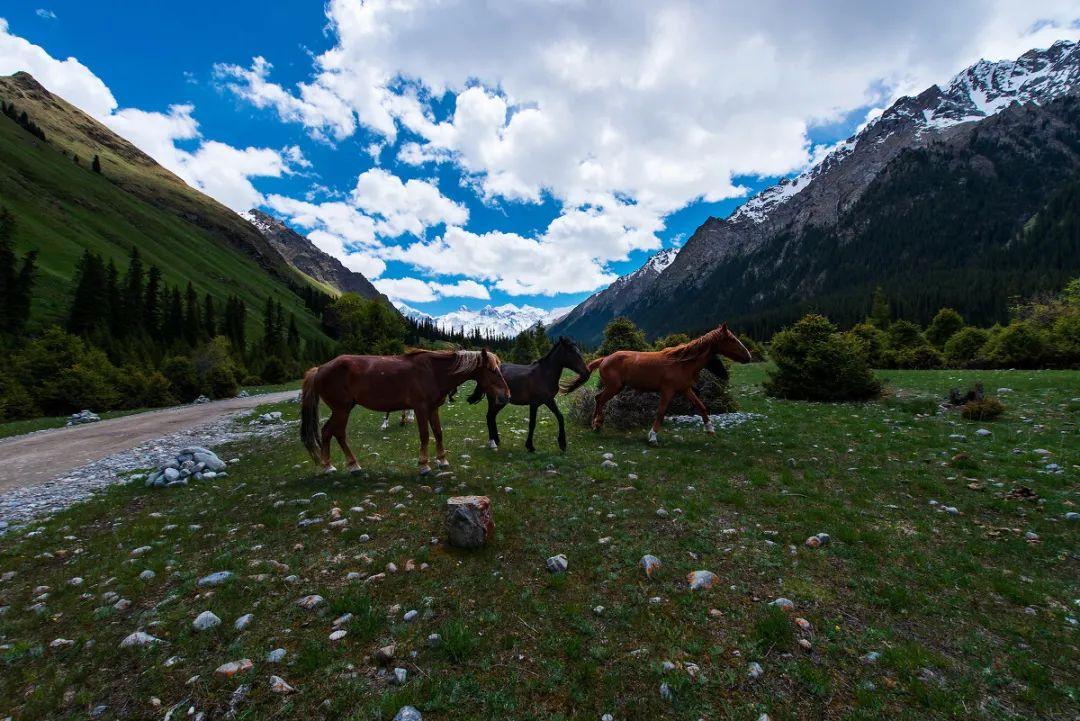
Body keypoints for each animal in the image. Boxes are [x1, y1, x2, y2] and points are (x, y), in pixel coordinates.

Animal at [300, 347, 509, 472]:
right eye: (492, 370)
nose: (506, 395)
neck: (433, 372)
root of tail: (319, 369)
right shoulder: (420, 409)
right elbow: (425, 435)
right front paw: (424, 464)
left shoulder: (433, 409)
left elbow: (438, 433)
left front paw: (442, 460)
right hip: (341, 409)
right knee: (336, 433)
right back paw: (346, 465)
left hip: (343, 409)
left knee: (328, 432)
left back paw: (334, 465)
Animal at [570, 321, 756, 444]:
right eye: (732, 339)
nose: (748, 356)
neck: (682, 362)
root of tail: (604, 359)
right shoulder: (667, 390)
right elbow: (660, 412)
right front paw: (652, 436)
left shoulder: (685, 389)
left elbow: (701, 406)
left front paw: (710, 429)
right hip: (614, 387)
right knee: (600, 399)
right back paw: (596, 424)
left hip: (615, 387)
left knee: (598, 398)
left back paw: (597, 424)